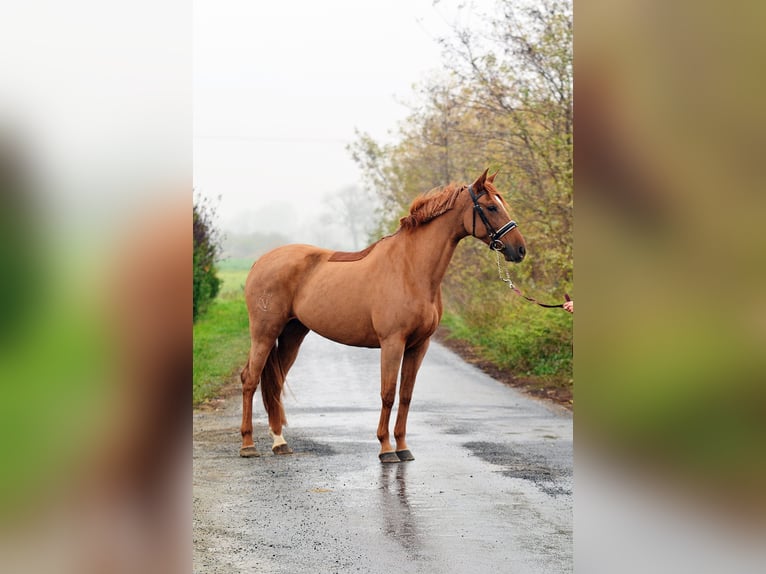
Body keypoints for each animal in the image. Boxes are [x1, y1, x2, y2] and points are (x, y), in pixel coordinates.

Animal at [242, 170, 528, 464]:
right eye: (491, 207)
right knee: (250, 379)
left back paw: (280, 442)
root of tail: (260, 262)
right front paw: (386, 448)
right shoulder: (392, 342)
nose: (519, 250)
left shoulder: (418, 346)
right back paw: (248, 445)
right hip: (265, 333)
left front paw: (403, 447)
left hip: (292, 333)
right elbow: (388, 393)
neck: (411, 269)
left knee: (275, 383)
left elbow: (406, 395)